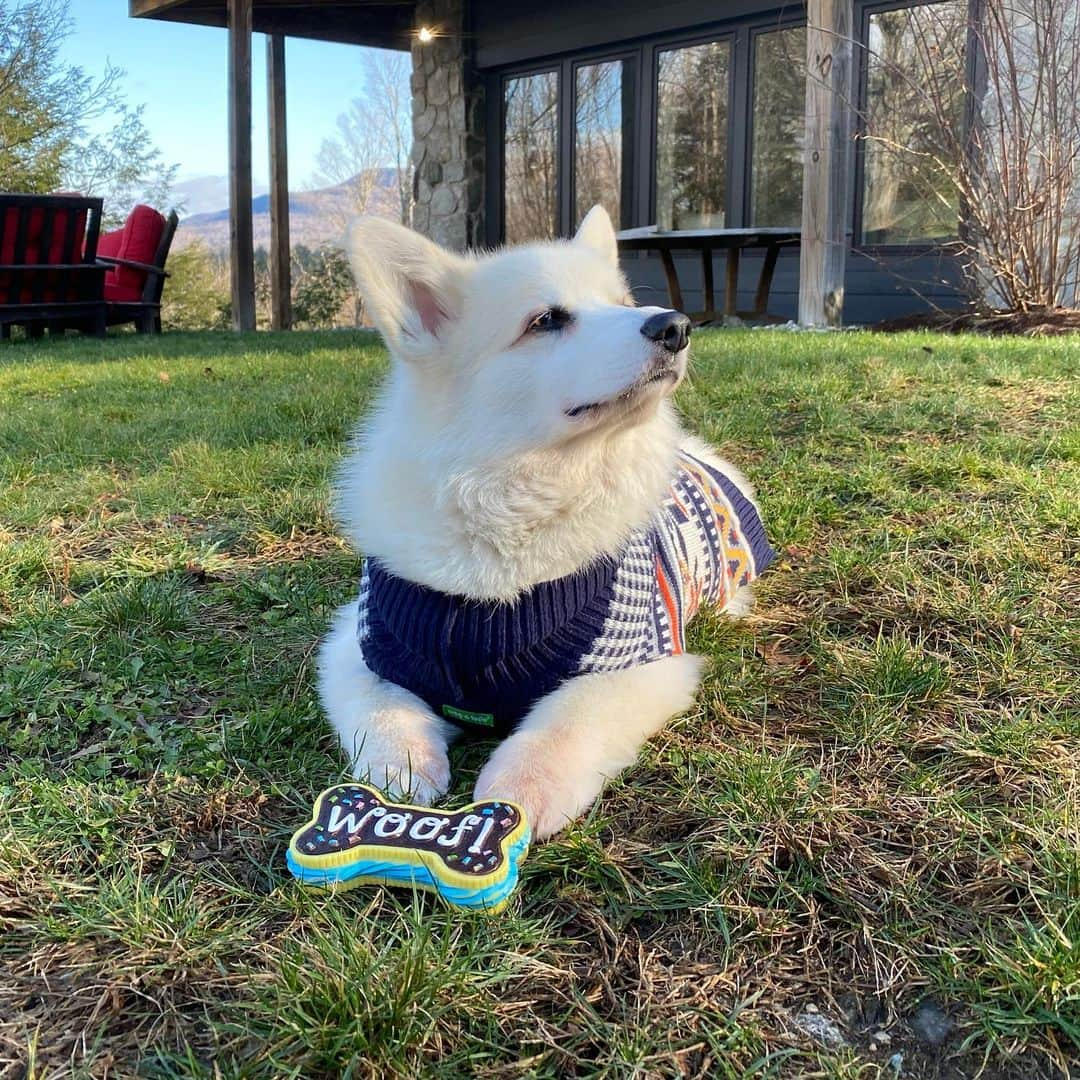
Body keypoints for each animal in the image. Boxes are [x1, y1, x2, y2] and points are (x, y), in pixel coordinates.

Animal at [315, 206, 773, 838]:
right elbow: (381, 709)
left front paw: (523, 788)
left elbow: (567, 720)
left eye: (622, 302)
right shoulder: (357, 645)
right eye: (548, 320)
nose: (675, 326)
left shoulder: (644, 666)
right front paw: (402, 765)